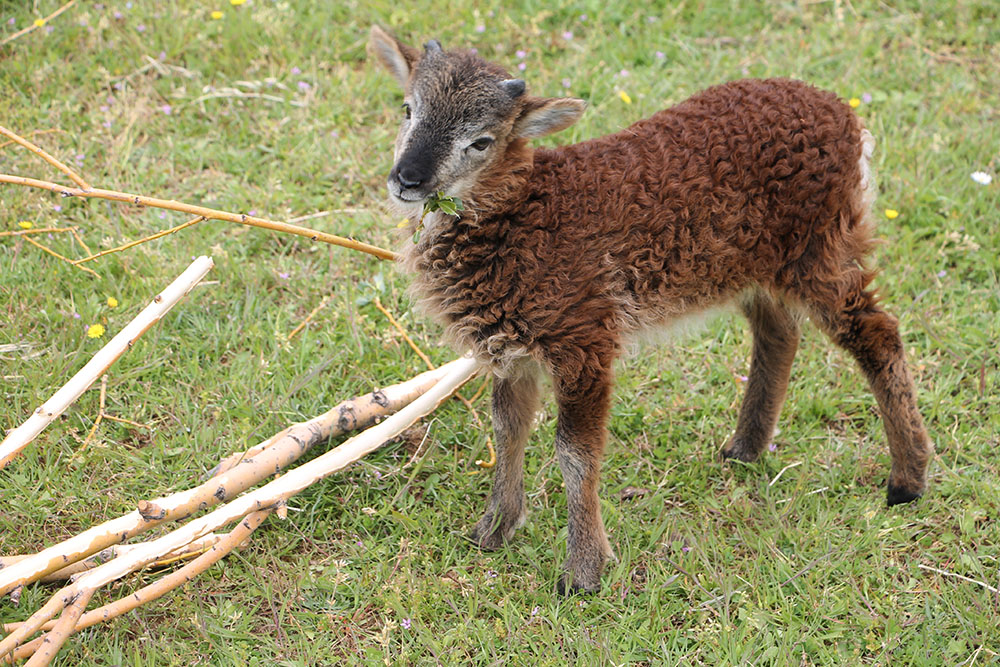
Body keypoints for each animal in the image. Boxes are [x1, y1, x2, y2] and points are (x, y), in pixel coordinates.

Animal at [370, 26, 936, 596]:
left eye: (482, 141)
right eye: (407, 109)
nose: (408, 179)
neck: (525, 211)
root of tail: (844, 115)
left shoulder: (584, 340)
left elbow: (575, 455)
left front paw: (583, 571)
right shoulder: (511, 349)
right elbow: (509, 430)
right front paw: (493, 531)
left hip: (820, 249)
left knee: (877, 333)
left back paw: (907, 480)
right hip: (752, 265)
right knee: (778, 333)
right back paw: (745, 449)